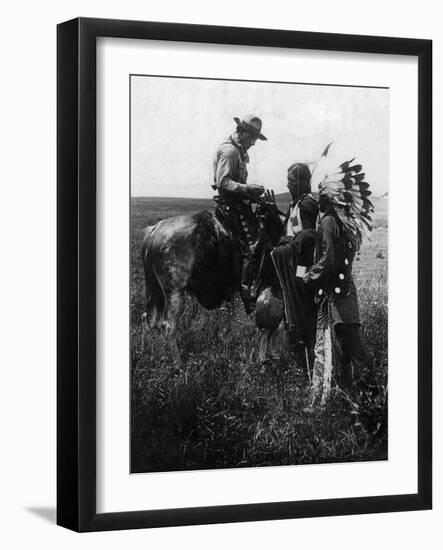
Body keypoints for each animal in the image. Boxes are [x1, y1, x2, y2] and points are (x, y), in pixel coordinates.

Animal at [142, 198, 288, 366]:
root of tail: (154, 230)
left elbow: (274, 327)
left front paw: (271, 355)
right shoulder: (274, 289)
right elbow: (272, 327)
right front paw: (266, 358)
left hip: (156, 291)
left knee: (149, 320)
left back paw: (149, 354)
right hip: (174, 292)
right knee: (168, 326)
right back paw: (178, 364)